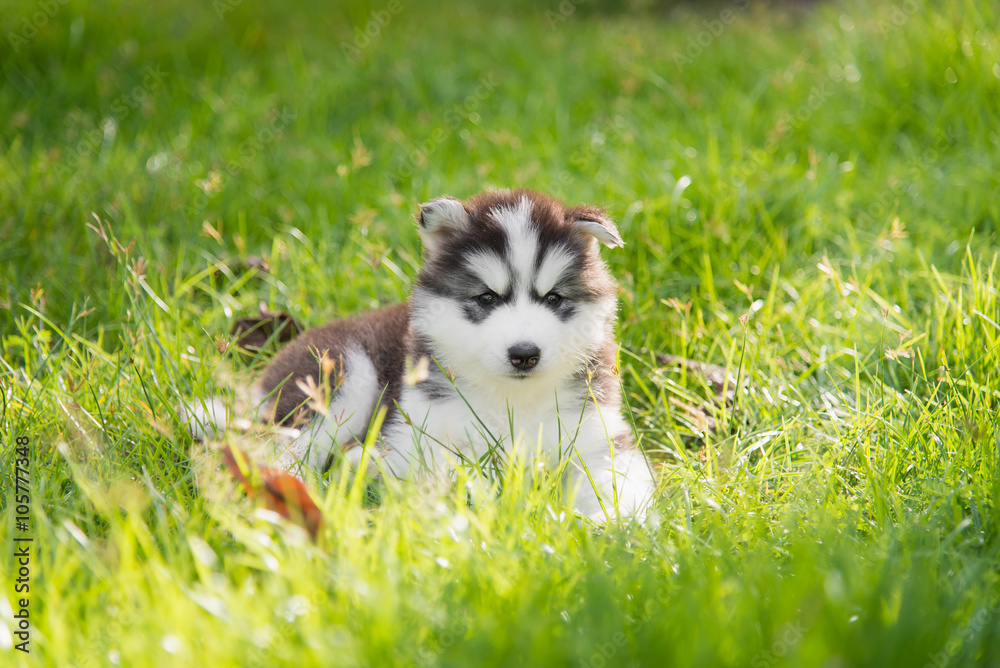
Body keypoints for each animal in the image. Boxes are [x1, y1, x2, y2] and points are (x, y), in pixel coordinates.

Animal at [226, 189, 652, 520]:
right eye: (486, 298)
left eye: (553, 298)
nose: (524, 355)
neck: (514, 400)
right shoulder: (423, 432)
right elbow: (453, 472)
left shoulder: (597, 435)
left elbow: (617, 484)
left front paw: (611, 529)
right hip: (344, 381)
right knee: (285, 450)